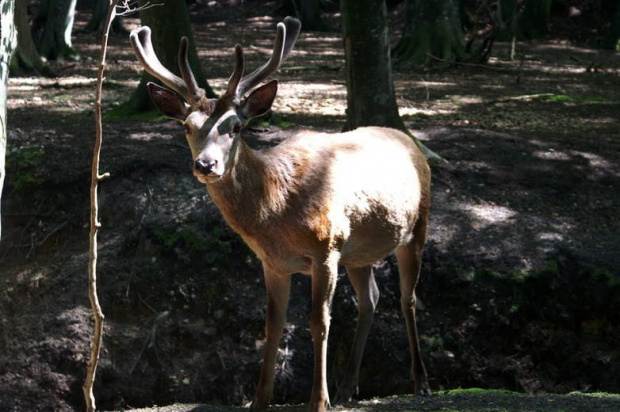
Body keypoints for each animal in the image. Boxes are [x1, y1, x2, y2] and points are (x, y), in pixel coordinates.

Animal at [131, 16, 432, 412]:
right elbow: (273, 325)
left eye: (236, 127)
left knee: (407, 297)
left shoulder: (326, 248)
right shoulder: (272, 262)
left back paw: (420, 382)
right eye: (187, 126)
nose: (206, 165)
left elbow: (319, 322)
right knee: (371, 298)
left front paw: (318, 401)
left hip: (417, 227)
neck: (278, 214)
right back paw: (348, 387)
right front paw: (259, 399)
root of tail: (409, 140)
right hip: (358, 253)